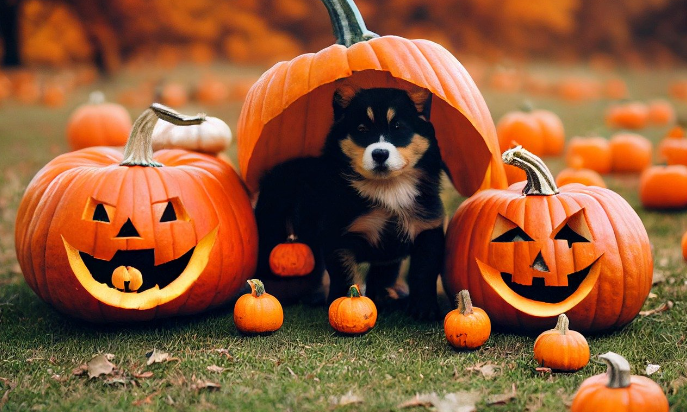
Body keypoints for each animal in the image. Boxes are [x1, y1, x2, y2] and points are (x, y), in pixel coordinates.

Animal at [255, 85, 444, 320]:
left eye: (398, 127)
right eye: (362, 129)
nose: (380, 154)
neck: (387, 187)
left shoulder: (427, 228)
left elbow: (423, 272)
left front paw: (424, 310)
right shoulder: (338, 234)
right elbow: (344, 275)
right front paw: (342, 305)